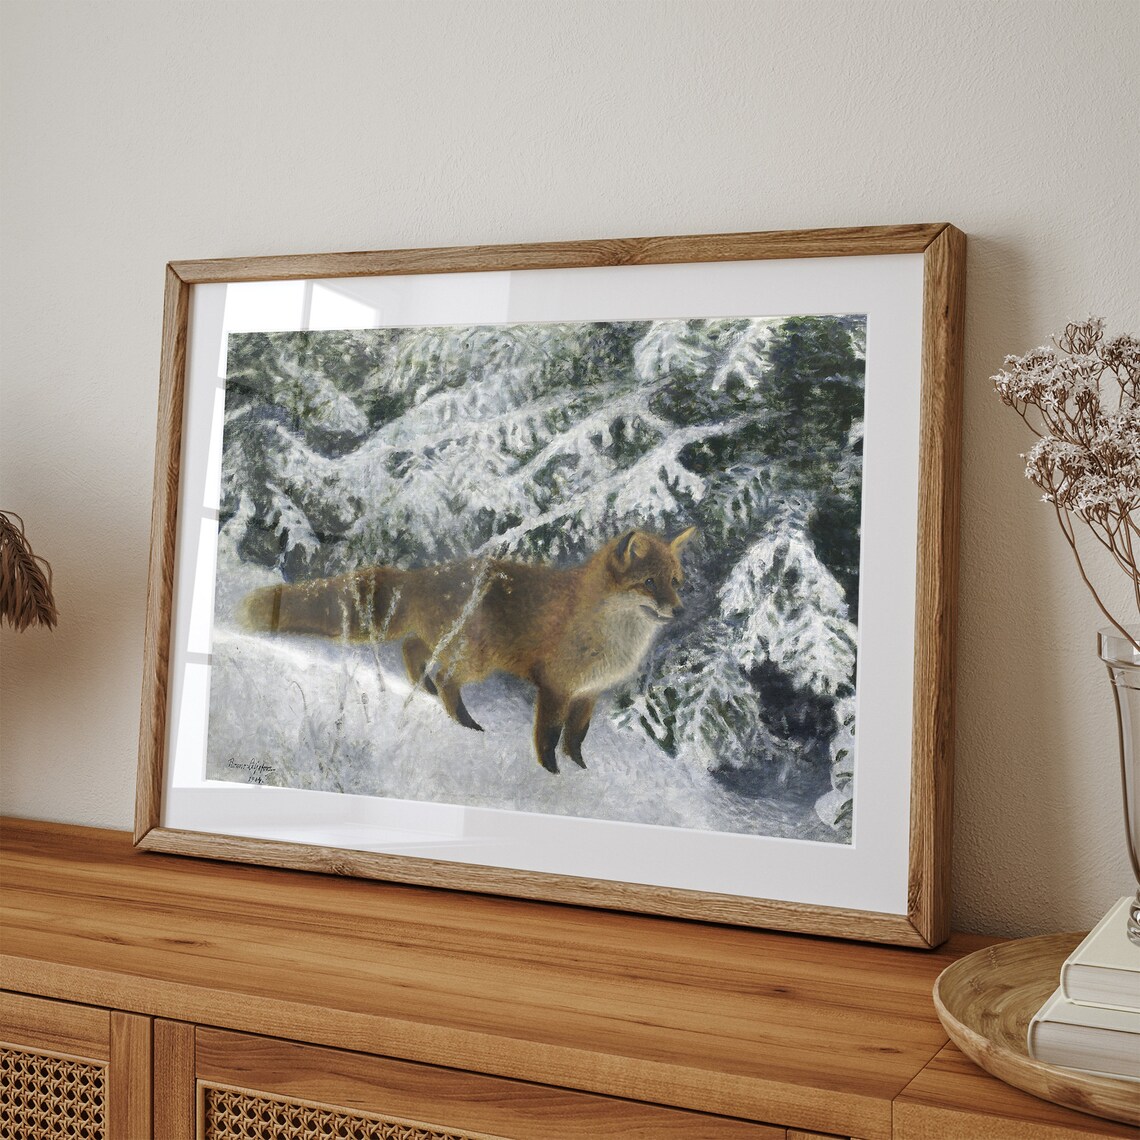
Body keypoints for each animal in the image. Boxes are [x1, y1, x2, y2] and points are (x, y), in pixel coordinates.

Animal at [239, 527, 697, 774]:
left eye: (675, 581)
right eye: (649, 583)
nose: (679, 610)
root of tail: (425, 575)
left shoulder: (588, 694)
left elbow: (576, 738)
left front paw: (581, 771)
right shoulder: (556, 687)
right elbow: (549, 737)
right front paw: (550, 773)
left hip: (454, 647)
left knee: (412, 647)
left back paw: (424, 689)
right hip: (477, 661)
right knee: (444, 676)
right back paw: (463, 722)